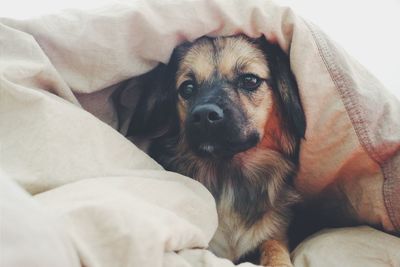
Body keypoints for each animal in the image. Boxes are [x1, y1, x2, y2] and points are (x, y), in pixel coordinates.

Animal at [119, 35, 306, 266]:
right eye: (187, 88)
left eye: (250, 80)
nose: (204, 115)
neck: (229, 177)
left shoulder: (276, 232)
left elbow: (274, 248)